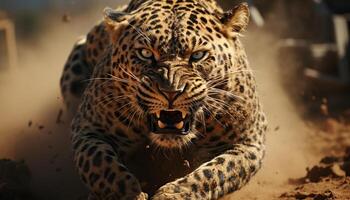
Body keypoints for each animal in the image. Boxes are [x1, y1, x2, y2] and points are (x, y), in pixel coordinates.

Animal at [60, 0, 268, 199]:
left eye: (198, 55)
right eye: (145, 53)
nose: (171, 92)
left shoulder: (249, 141)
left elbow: (214, 173)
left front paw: (173, 195)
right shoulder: (89, 129)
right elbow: (104, 168)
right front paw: (131, 194)